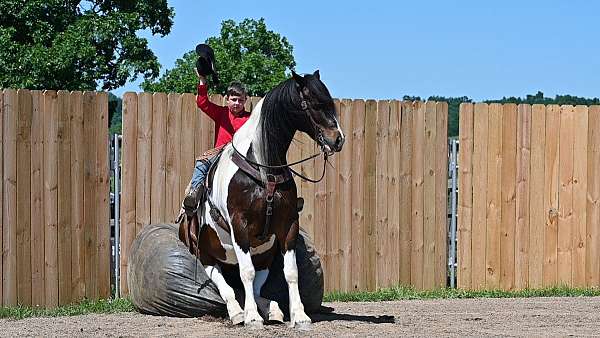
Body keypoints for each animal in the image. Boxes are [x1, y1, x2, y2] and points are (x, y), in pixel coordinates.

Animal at [178, 70, 344, 328]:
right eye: (316, 104)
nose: (337, 139)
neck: (264, 168)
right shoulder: (239, 226)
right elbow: (246, 273)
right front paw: (252, 317)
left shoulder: (288, 225)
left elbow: (291, 272)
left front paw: (299, 315)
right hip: (204, 254)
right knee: (224, 282)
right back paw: (238, 312)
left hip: (265, 255)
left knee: (255, 287)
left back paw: (272, 309)